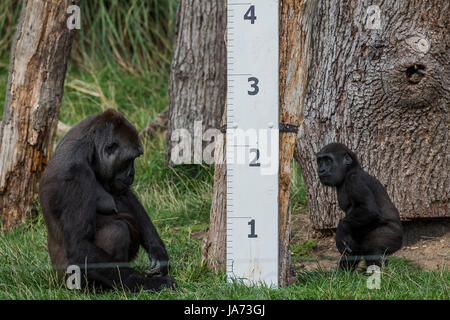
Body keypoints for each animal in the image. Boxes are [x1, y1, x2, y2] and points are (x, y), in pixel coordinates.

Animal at [39, 109, 176, 292]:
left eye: (135, 158)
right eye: (129, 159)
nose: (132, 174)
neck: (88, 149)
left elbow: (126, 195)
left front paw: (158, 252)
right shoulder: (75, 175)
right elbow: (80, 245)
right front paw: (150, 283)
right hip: (69, 280)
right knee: (116, 231)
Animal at [316, 142, 404, 270]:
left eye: (328, 160)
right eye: (319, 161)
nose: (321, 170)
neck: (349, 171)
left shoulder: (355, 180)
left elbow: (368, 210)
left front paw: (341, 229)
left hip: (394, 236)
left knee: (372, 249)